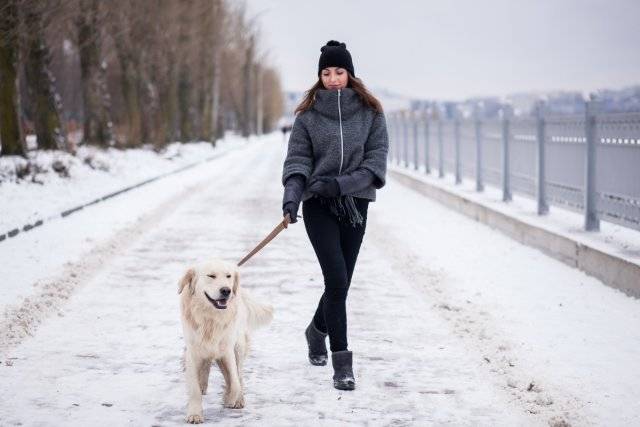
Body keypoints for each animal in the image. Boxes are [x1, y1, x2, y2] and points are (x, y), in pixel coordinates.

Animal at [178, 260, 272, 422]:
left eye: (228, 276)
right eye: (211, 276)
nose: (226, 290)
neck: (210, 319)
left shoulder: (227, 351)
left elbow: (234, 382)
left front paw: (231, 398)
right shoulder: (193, 351)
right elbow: (194, 388)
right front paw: (195, 413)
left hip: (238, 347)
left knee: (238, 375)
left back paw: (238, 398)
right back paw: (203, 384)